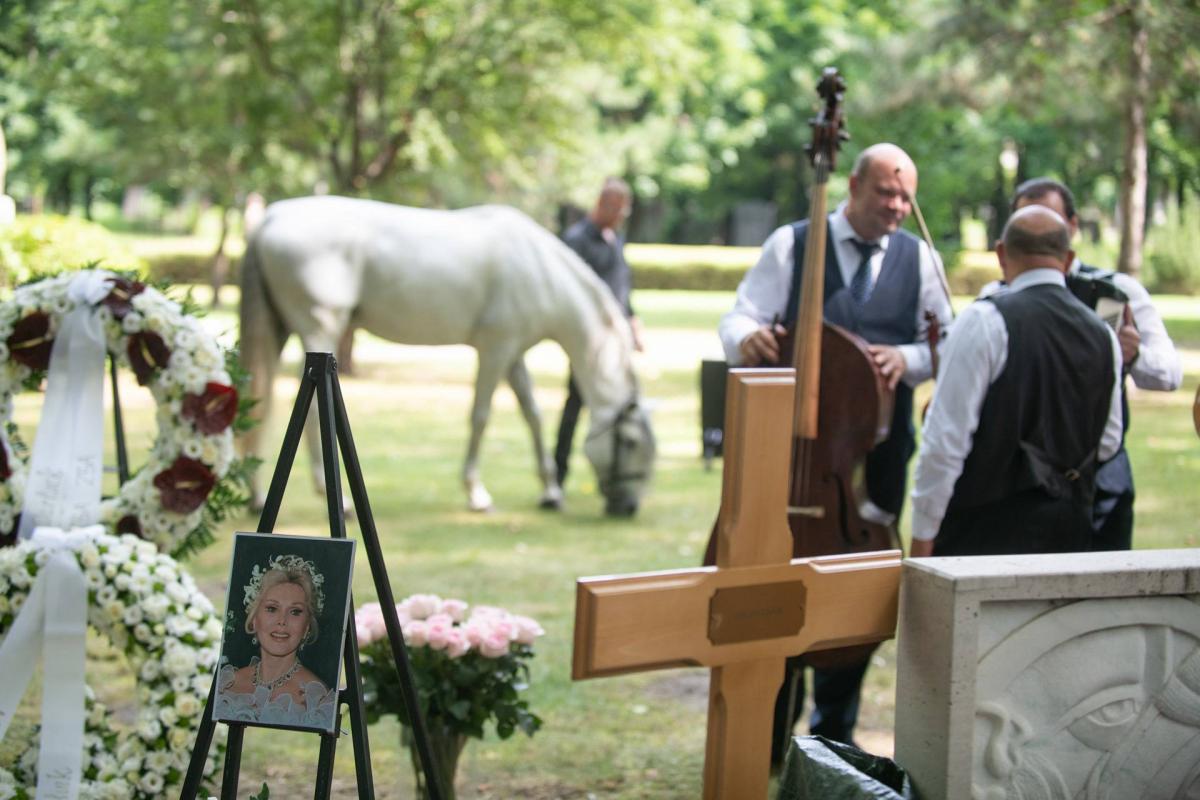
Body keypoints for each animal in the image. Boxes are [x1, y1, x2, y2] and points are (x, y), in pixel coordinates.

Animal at [237, 196, 657, 515]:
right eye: (631, 442)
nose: (628, 507)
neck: (540, 269)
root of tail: (271, 217)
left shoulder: (514, 354)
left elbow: (533, 416)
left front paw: (551, 491)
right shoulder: (495, 349)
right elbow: (481, 416)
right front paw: (476, 493)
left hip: (278, 329)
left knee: (259, 401)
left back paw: (258, 495)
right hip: (320, 331)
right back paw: (335, 499)